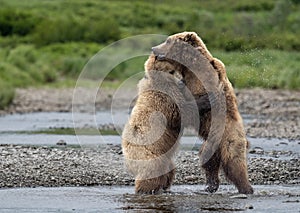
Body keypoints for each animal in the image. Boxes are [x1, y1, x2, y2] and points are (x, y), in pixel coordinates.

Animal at [151, 32, 254, 195]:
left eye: (167, 40)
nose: (154, 48)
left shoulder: (207, 77)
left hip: (229, 140)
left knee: (235, 165)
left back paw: (246, 188)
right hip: (210, 147)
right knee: (209, 163)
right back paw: (210, 186)